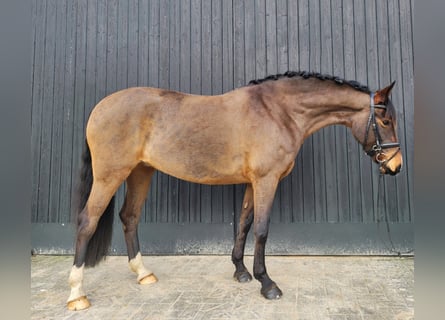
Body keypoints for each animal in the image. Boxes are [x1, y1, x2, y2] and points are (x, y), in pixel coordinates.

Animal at [67, 70, 402, 310]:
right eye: (385, 120)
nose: (395, 166)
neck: (278, 111)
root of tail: (100, 107)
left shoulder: (252, 183)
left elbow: (243, 223)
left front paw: (241, 272)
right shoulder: (266, 180)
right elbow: (262, 230)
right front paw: (267, 283)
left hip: (140, 172)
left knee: (130, 217)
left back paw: (143, 274)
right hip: (110, 176)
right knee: (87, 222)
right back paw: (77, 294)